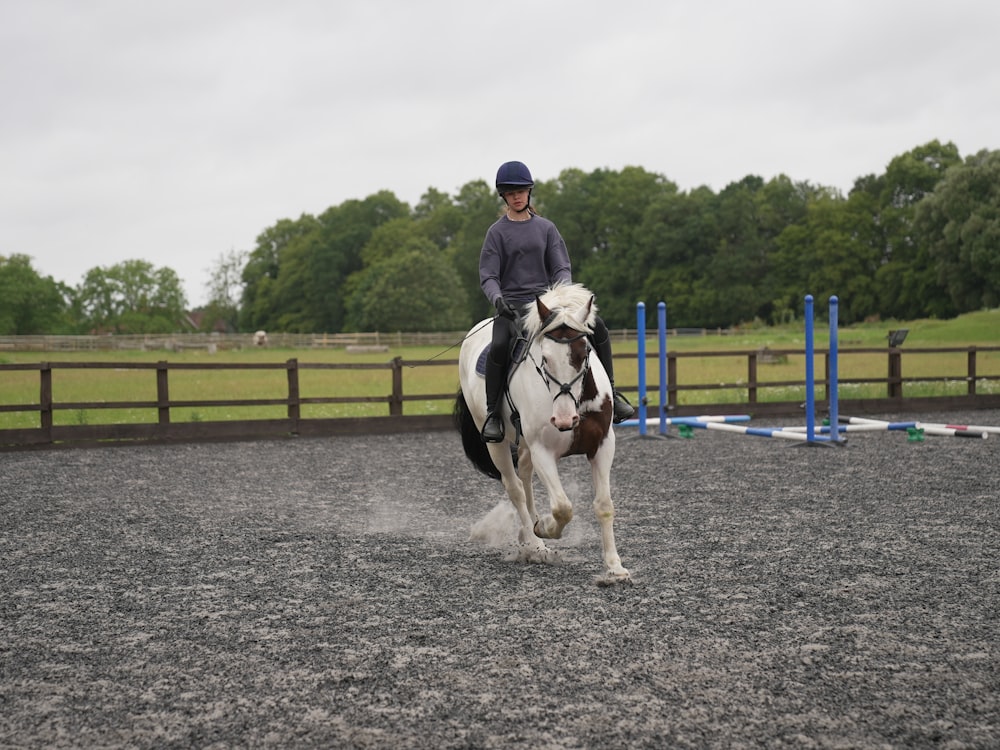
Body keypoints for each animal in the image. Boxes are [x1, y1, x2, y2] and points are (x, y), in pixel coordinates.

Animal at [456, 284, 628, 584]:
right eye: (544, 359)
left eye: (584, 352)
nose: (564, 419)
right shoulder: (543, 451)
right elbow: (562, 507)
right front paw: (545, 527)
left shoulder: (603, 446)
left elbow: (604, 505)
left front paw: (614, 567)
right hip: (497, 443)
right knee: (515, 488)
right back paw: (535, 545)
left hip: (524, 443)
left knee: (524, 477)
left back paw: (528, 534)